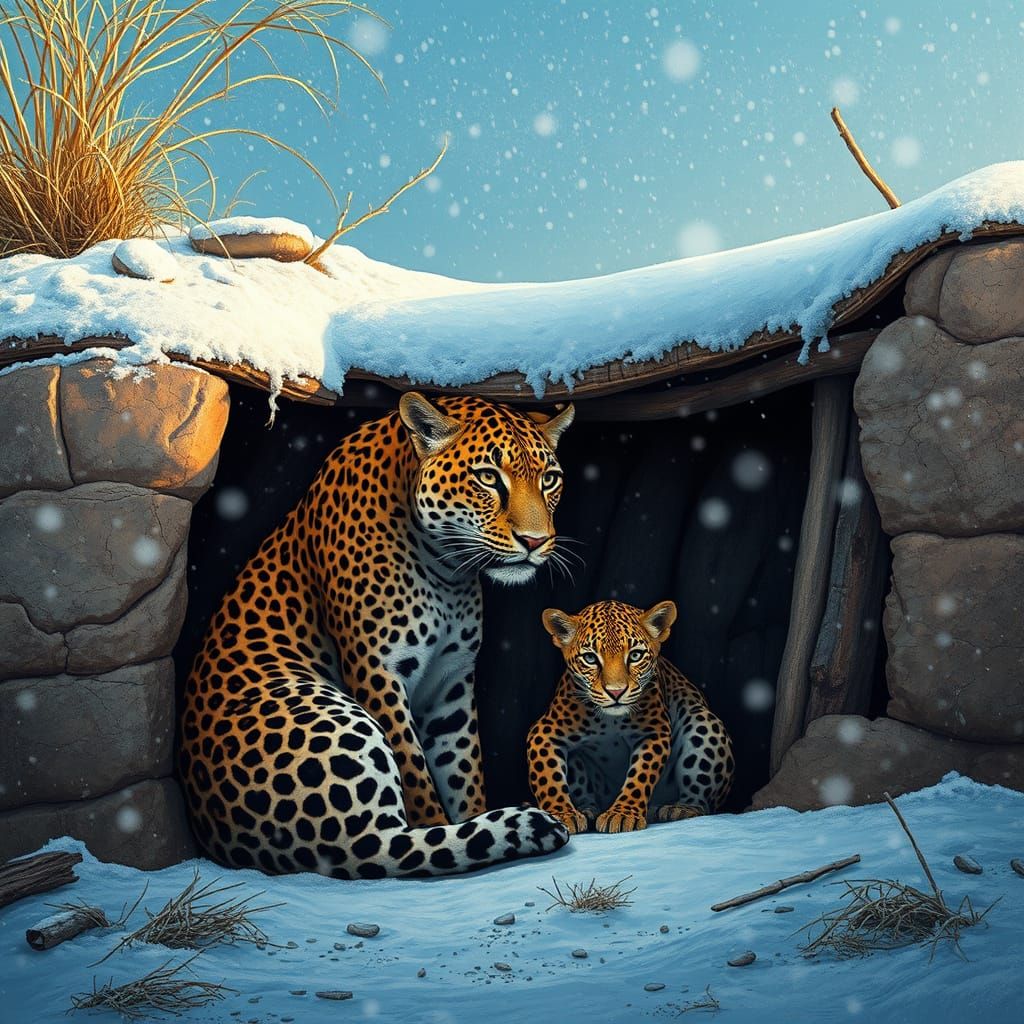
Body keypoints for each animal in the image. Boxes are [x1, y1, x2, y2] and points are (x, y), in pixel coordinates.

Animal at [180, 391, 575, 878]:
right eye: (487, 477)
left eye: (550, 479)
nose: (536, 542)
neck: (447, 569)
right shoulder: (378, 668)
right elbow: (416, 773)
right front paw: (440, 821)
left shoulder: (450, 682)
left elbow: (462, 770)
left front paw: (469, 812)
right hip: (320, 707)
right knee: (386, 847)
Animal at [527, 599, 734, 834]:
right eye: (590, 658)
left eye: (635, 655)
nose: (616, 692)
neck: (609, 721)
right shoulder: (543, 733)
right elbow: (548, 779)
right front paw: (561, 814)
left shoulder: (654, 733)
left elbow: (640, 777)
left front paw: (622, 814)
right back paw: (587, 810)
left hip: (703, 721)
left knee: (703, 803)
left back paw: (679, 808)